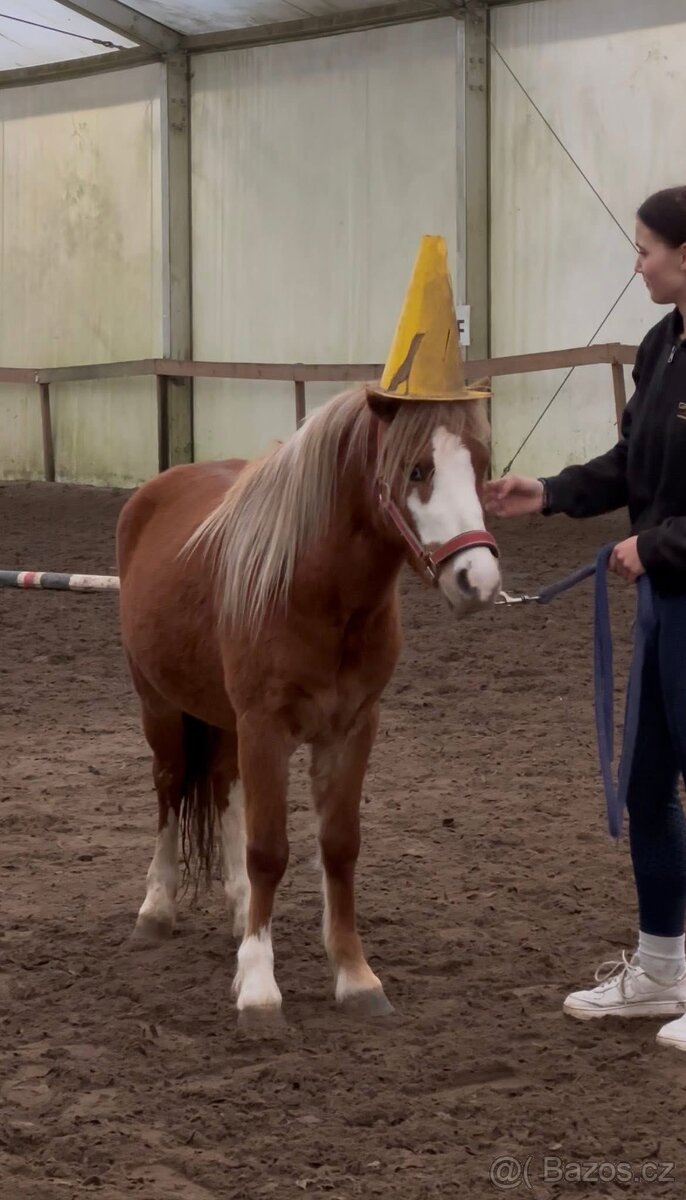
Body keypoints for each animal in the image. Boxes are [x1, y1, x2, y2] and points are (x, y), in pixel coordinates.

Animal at [116, 385, 501, 1022]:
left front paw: (355, 977)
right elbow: (269, 850)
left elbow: (340, 846)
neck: (312, 587)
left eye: (481, 466)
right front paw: (258, 987)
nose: (478, 581)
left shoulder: (352, 728)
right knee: (170, 787)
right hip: (161, 707)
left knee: (221, 787)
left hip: (224, 721)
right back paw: (156, 908)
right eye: (416, 469)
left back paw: (237, 908)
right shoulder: (265, 728)